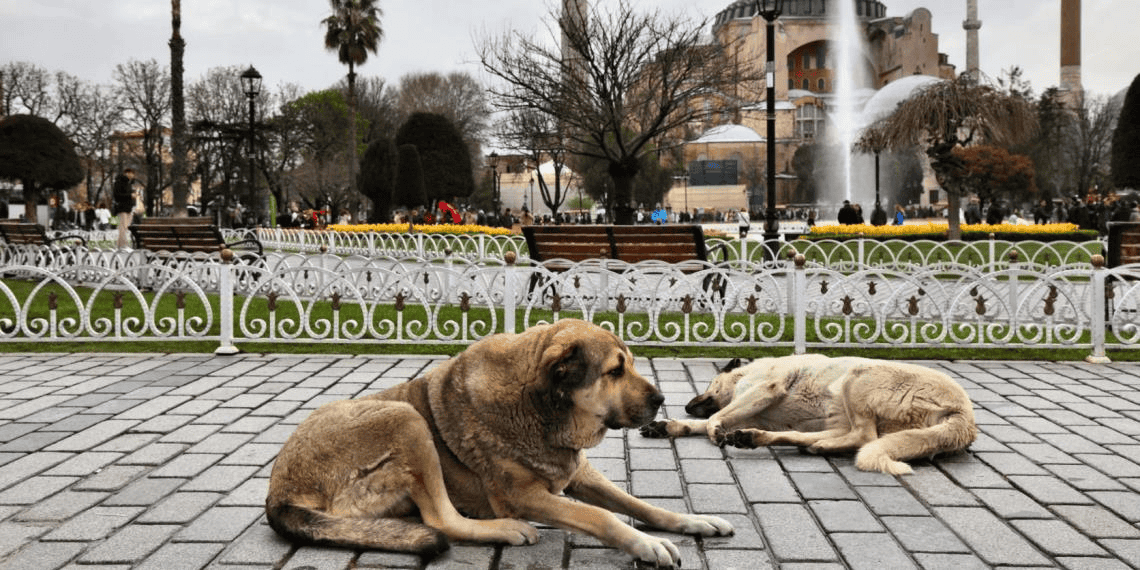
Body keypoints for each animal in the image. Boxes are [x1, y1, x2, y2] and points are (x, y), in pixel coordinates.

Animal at [265, 321, 729, 565]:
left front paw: (692, 520)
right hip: (404, 418)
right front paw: (645, 543)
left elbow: (641, 506)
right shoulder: (521, 495)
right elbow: (601, 517)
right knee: (441, 521)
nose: (661, 400)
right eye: (615, 371)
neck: (544, 408)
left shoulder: (579, 473)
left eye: (629, 365)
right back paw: (505, 529)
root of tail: (279, 495)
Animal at [647, 355, 975, 471]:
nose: (686, 406)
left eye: (709, 384)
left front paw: (712, 430)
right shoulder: (747, 408)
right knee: (819, 437)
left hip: (858, 377)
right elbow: (707, 422)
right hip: (835, 419)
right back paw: (760, 438)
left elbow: (714, 419)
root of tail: (965, 417)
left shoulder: (765, 388)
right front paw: (669, 426)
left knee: (864, 437)